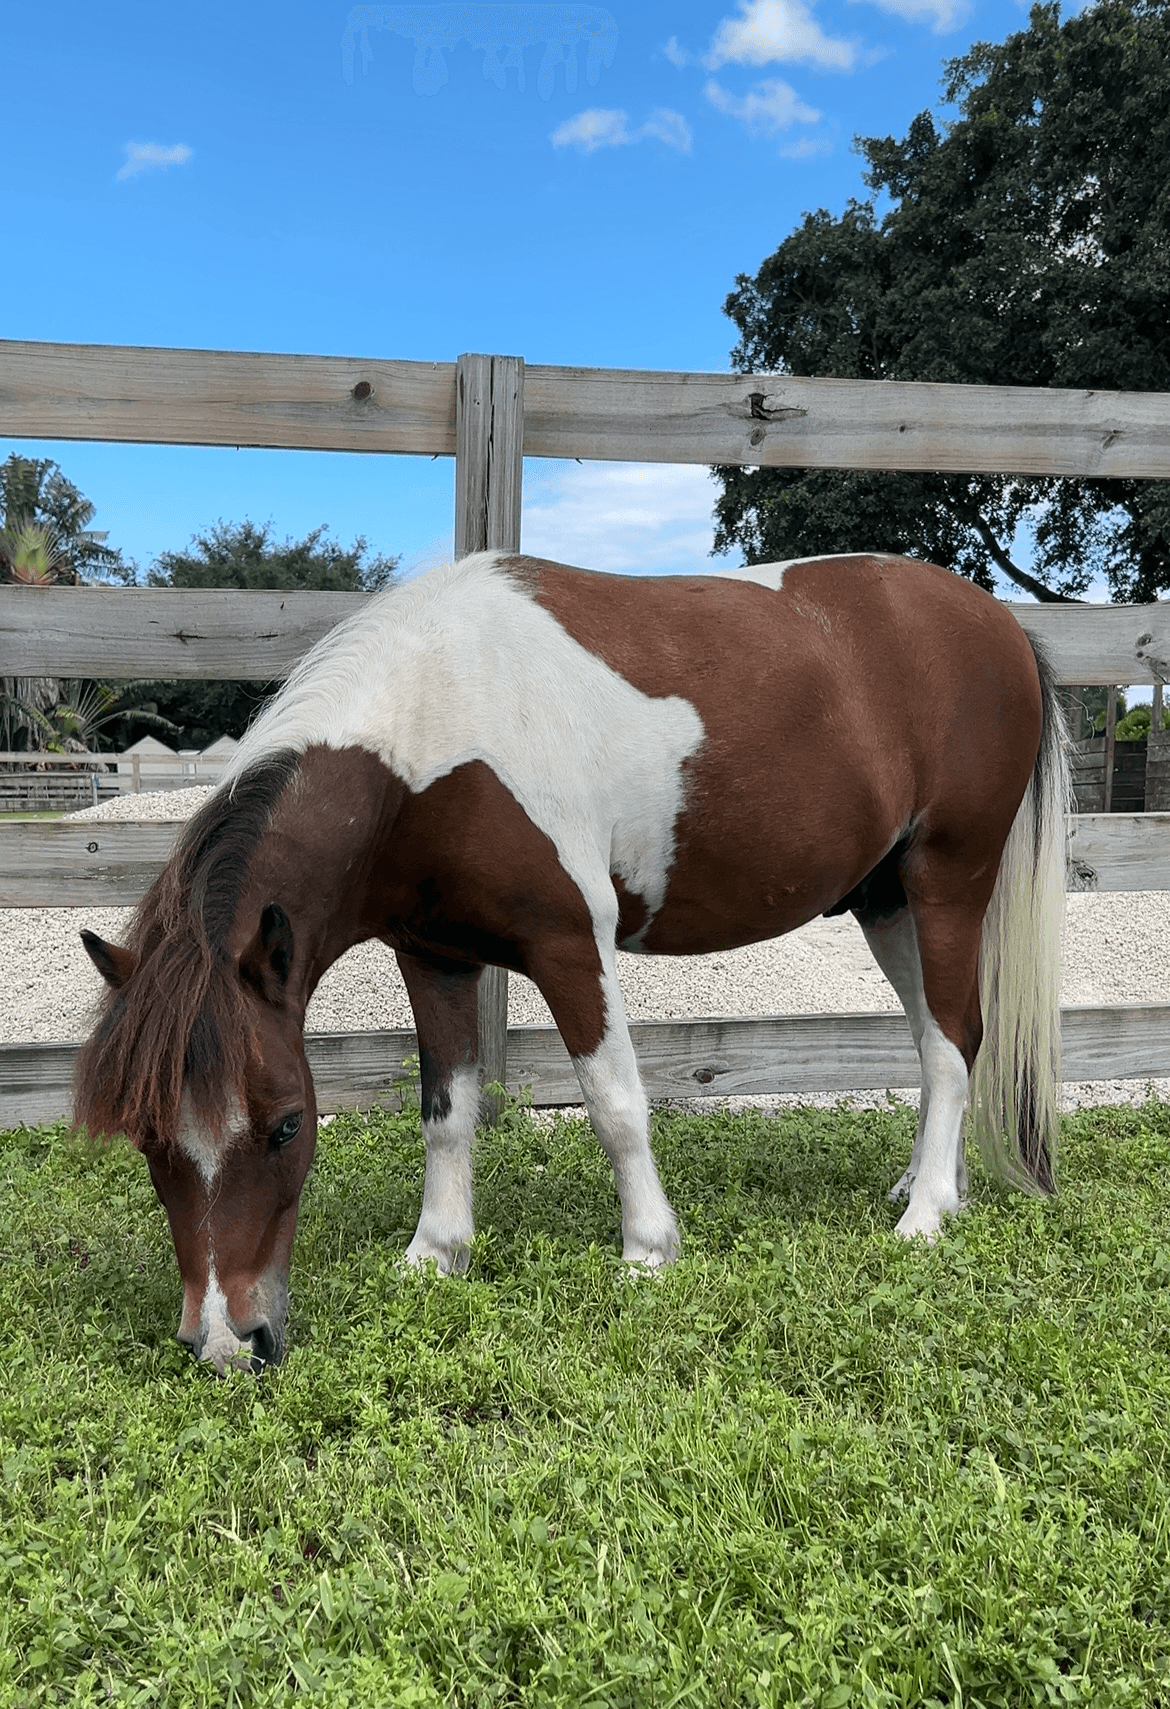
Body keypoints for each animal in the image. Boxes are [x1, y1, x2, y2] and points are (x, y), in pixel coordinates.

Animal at [73, 550, 1065, 1374]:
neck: (434, 732)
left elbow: (614, 1102)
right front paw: (436, 1253)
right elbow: (446, 1111)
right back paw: (935, 1185)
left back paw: (926, 1212)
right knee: (944, 1039)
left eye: (285, 1126)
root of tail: (1002, 624)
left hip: (946, 886)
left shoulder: (568, 943)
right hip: (884, 902)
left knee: (949, 1043)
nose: (227, 1341)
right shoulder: (434, 959)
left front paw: (649, 1250)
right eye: (148, 1136)